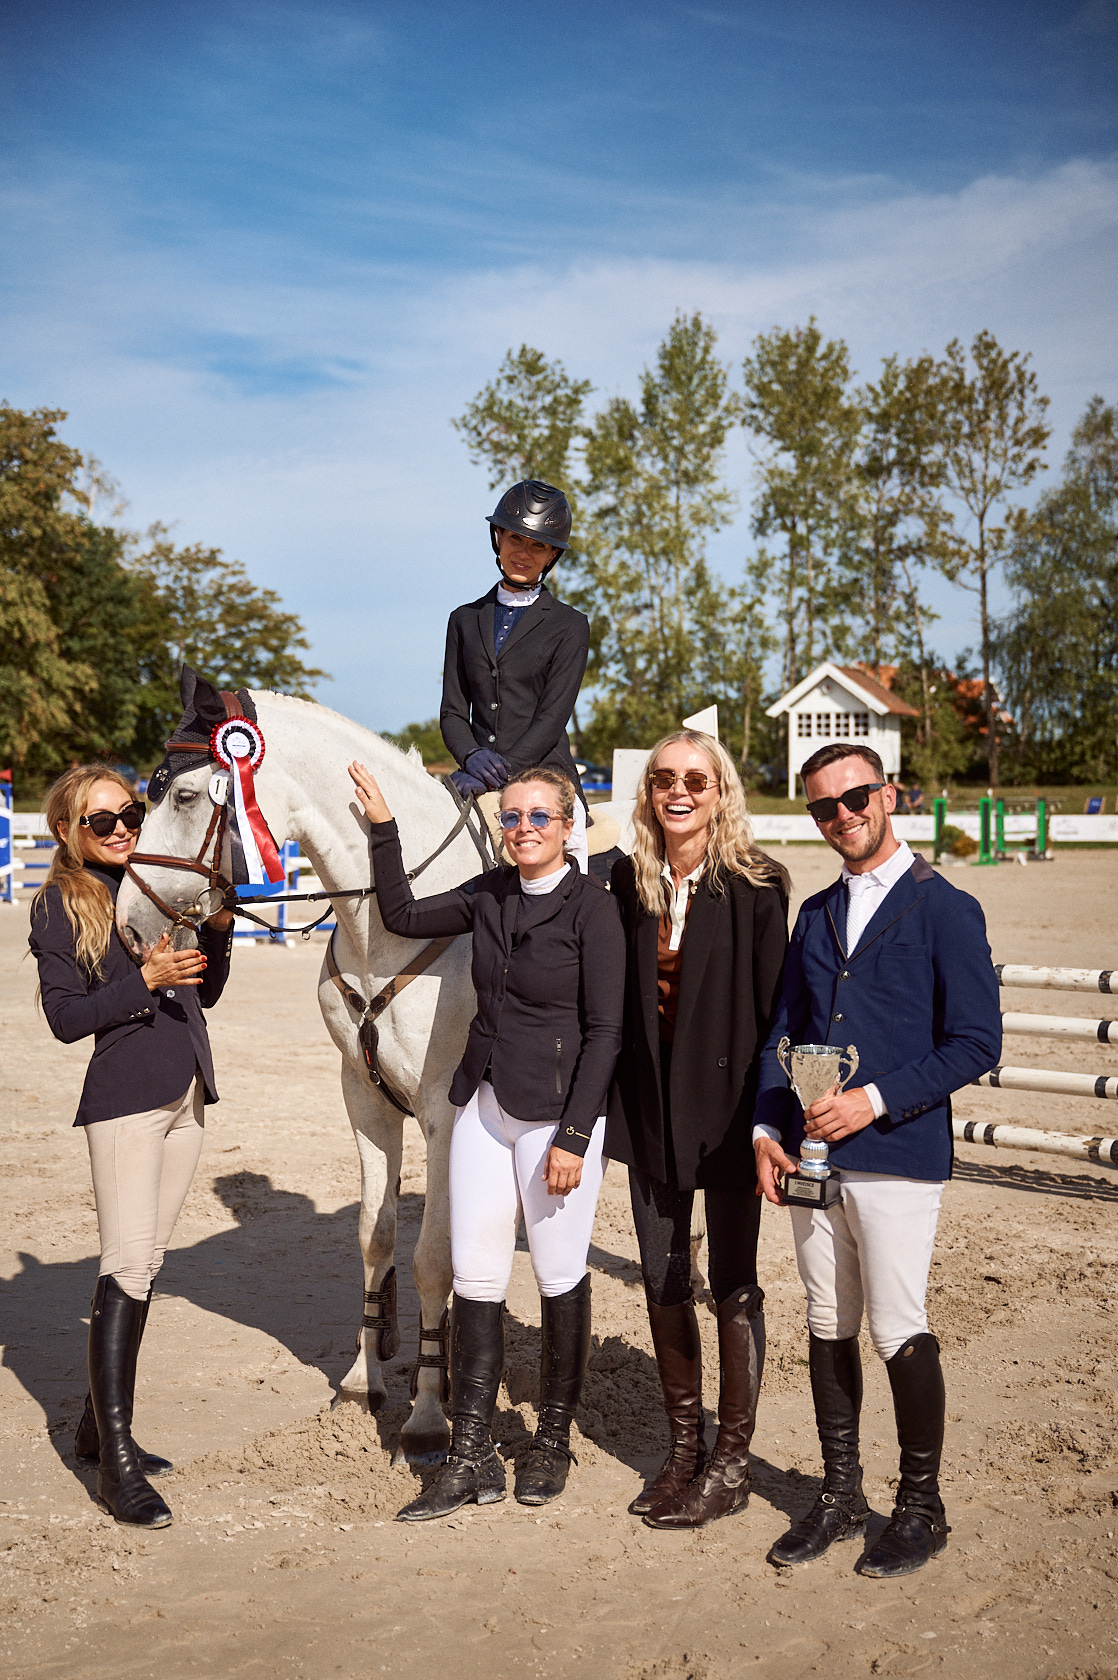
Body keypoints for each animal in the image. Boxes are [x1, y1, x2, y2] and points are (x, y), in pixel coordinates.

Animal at [113, 688, 487, 1464]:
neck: (397, 914)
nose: (129, 929)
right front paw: (362, 1381)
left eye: (184, 795)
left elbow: (433, 1256)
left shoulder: (445, 1115)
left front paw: (428, 1418)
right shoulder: (364, 1100)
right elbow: (376, 1238)